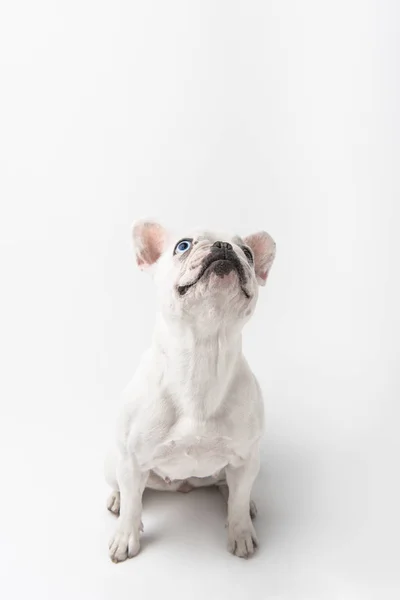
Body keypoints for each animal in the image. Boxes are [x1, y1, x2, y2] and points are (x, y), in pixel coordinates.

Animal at [104, 220, 276, 564]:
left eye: (248, 253)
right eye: (183, 245)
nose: (224, 246)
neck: (202, 353)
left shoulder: (246, 457)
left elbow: (238, 504)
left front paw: (240, 531)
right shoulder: (130, 460)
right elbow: (132, 508)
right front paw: (126, 537)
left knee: (234, 489)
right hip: (113, 461)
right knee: (126, 492)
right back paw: (117, 498)